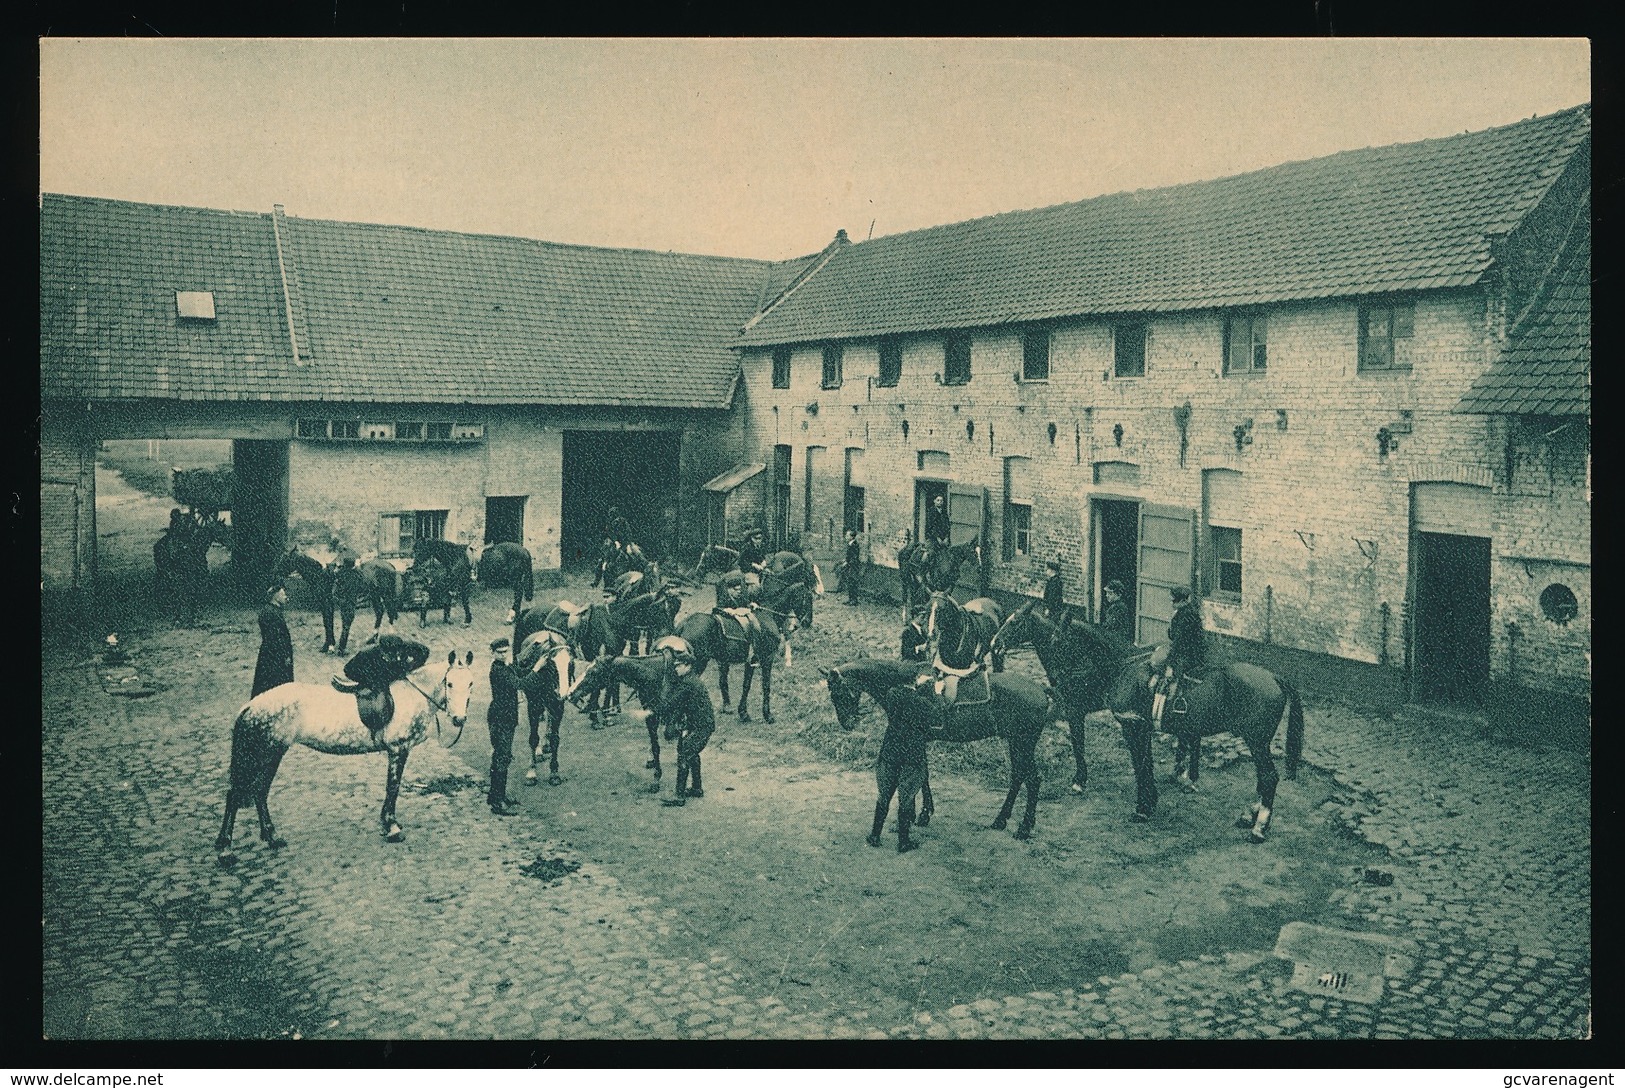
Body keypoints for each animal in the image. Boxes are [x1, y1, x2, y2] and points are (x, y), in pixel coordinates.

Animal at [214, 649, 474, 870]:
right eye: (450, 683)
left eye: (471, 684)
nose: (459, 719)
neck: (412, 695)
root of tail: (251, 705)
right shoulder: (398, 749)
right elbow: (393, 788)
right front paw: (392, 827)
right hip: (263, 754)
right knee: (236, 795)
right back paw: (226, 850)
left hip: (272, 754)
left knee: (259, 792)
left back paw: (272, 837)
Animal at [819, 656, 1059, 844]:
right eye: (832, 695)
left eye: (840, 693)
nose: (847, 724)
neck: (906, 683)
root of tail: (1041, 690)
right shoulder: (920, 740)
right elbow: (923, 774)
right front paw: (920, 813)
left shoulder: (916, 740)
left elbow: (921, 774)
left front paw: (918, 815)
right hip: (1015, 742)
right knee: (1018, 776)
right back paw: (1000, 820)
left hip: (1023, 743)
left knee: (1032, 779)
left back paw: (1024, 828)